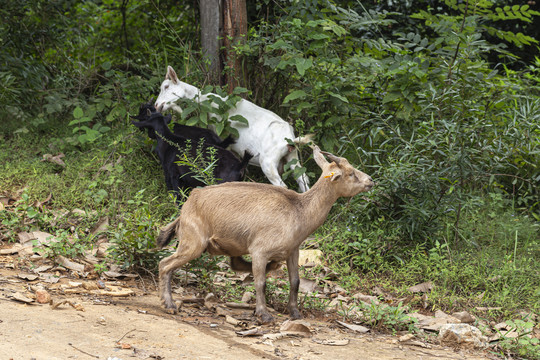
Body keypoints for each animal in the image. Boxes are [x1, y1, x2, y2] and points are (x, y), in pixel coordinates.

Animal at [154, 65, 310, 193]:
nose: (157, 105)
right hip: (293, 157)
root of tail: (290, 138)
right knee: (303, 179)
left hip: (268, 161)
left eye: (166, 87)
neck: (209, 102)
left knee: (282, 185)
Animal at [158, 145, 374, 322]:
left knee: (234, 263)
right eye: (350, 173)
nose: (371, 181)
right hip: (193, 242)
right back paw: (169, 304)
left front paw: (295, 312)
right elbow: (261, 282)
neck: (299, 211)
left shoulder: (293, 251)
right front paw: (264, 314)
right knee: (165, 264)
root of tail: (186, 207)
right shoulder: (259, 251)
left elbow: (295, 281)